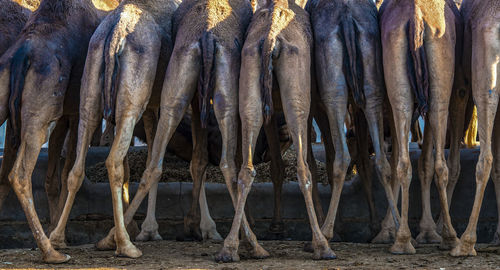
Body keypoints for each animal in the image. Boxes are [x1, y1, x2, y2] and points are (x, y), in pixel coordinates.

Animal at [0, 0, 116, 262]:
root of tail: (23, 54)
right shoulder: (74, 111)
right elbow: (66, 171)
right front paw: (59, 238)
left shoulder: (64, 114)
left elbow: (53, 177)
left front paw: (57, 231)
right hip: (40, 114)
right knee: (19, 175)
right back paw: (50, 252)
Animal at [306, 0, 400, 248]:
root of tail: (346, 18)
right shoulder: (358, 107)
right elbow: (365, 163)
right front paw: (374, 226)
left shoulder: (317, 105)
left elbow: (325, 159)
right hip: (372, 86)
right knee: (382, 162)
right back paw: (396, 229)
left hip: (334, 93)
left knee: (341, 158)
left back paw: (326, 233)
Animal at [380, 0, 462, 253]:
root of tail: (415, 14)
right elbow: (426, 162)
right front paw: (429, 231)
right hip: (440, 94)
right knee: (440, 166)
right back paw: (450, 237)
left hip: (398, 90)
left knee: (402, 164)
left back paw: (402, 241)